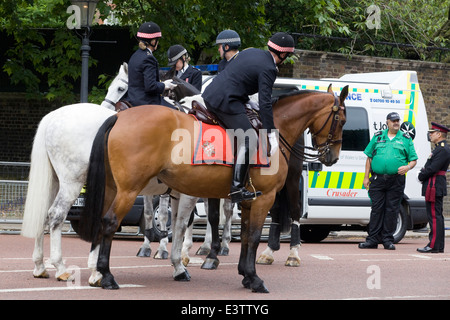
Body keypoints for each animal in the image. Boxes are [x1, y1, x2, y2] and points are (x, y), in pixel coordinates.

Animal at [80, 84, 348, 292]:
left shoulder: (249, 200)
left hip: (113, 189)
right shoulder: (263, 198)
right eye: (342, 120)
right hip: (128, 190)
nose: (333, 157)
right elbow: (250, 235)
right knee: (109, 222)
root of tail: (119, 117)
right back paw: (106, 276)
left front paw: (245, 274)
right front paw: (254, 279)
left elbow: (245, 234)